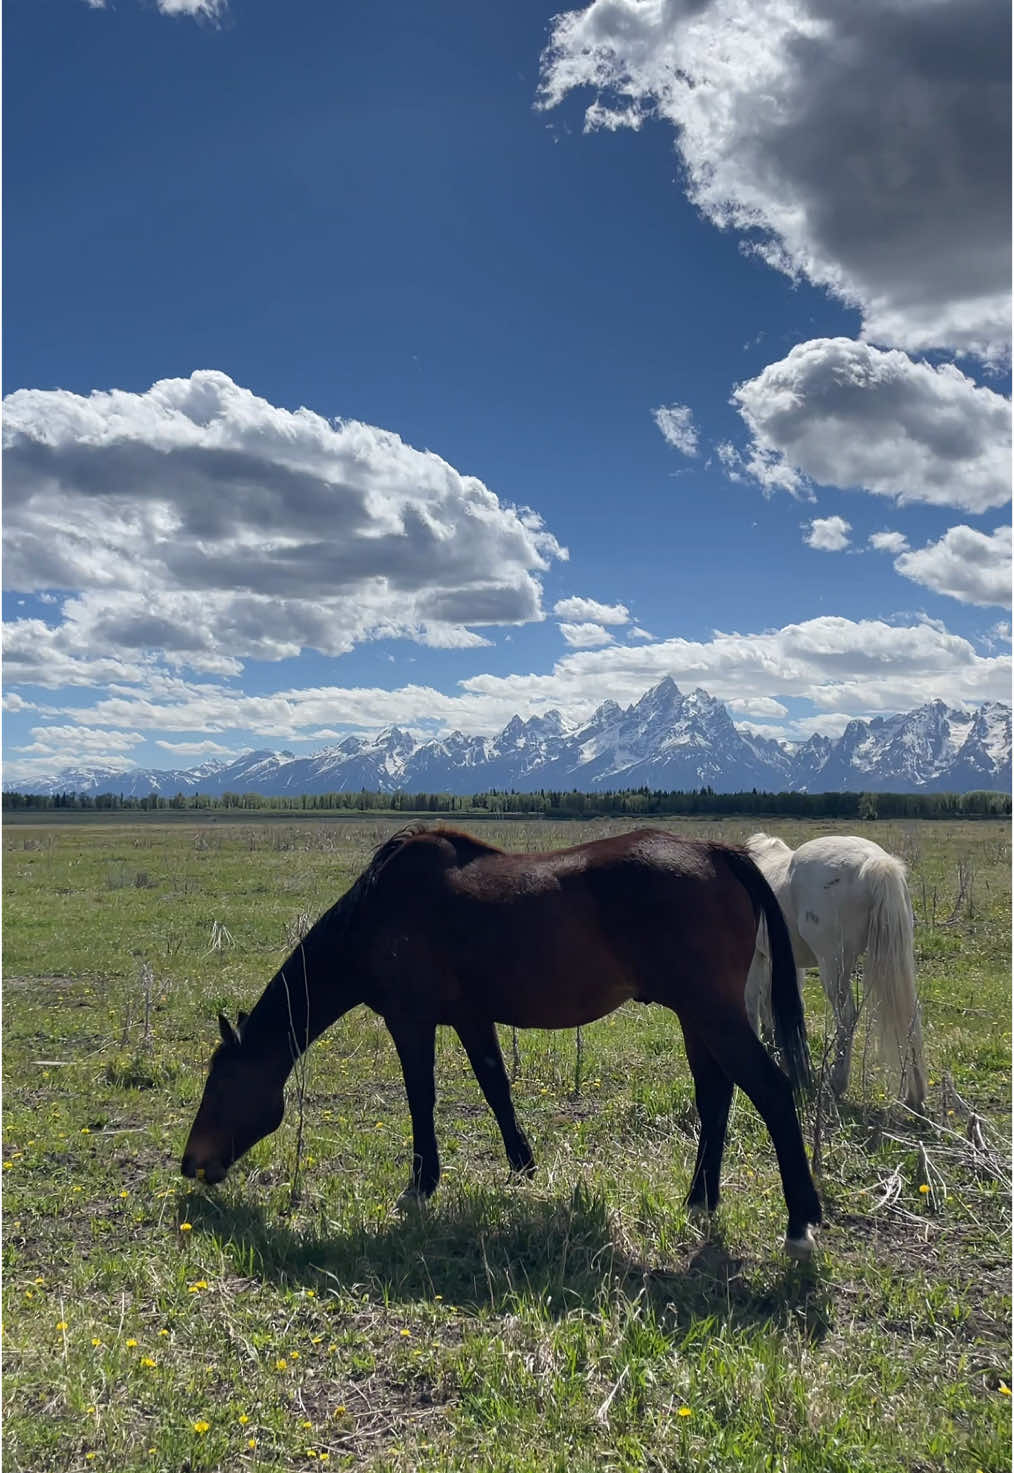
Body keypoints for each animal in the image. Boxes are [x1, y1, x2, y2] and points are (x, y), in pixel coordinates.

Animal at [184, 830, 825, 1254]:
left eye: (220, 1085)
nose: (191, 1164)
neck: (377, 910)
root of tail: (718, 852)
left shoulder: (411, 1021)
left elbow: (422, 1099)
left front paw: (420, 1186)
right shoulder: (472, 1019)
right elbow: (495, 1086)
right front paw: (522, 1168)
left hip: (711, 1013)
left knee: (771, 1091)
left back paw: (800, 1225)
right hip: (699, 1018)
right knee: (716, 1095)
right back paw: (700, 1201)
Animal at [745, 836, 925, 1107]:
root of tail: (874, 861)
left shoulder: (757, 955)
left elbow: (754, 1002)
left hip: (832, 966)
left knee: (847, 1016)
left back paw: (837, 1082)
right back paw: (914, 1093)